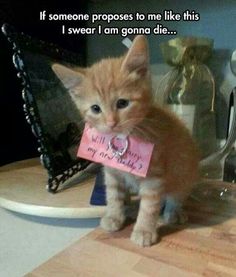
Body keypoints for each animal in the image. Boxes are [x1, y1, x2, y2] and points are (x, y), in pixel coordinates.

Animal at [52, 35, 199, 246]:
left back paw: (174, 213)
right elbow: (113, 195)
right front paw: (114, 216)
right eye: (95, 108)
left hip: (185, 172)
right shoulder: (111, 172)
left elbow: (149, 205)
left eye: (122, 103)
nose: (111, 123)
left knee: (176, 195)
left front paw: (144, 230)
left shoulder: (154, 177)